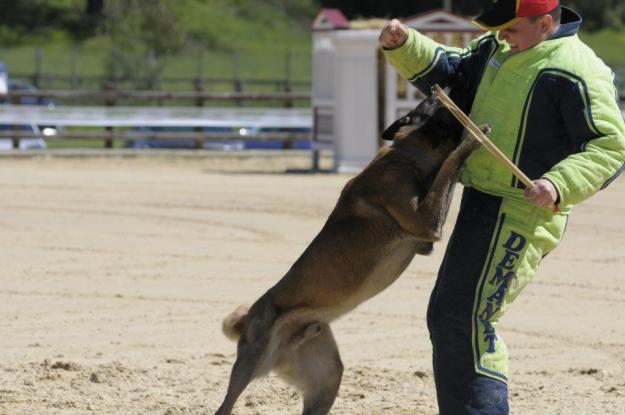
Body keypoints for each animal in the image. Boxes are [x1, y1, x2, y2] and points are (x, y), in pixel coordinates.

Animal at [214, 89, 488, 414]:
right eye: (437, 102)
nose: (445, 87)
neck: (406, 155)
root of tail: (249, 318)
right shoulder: (425, 221)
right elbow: (450, 165)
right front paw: (472, 140)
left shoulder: (425, 239)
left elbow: (445, 174)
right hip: (249, 364)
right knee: (225, 404)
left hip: (326, 376)